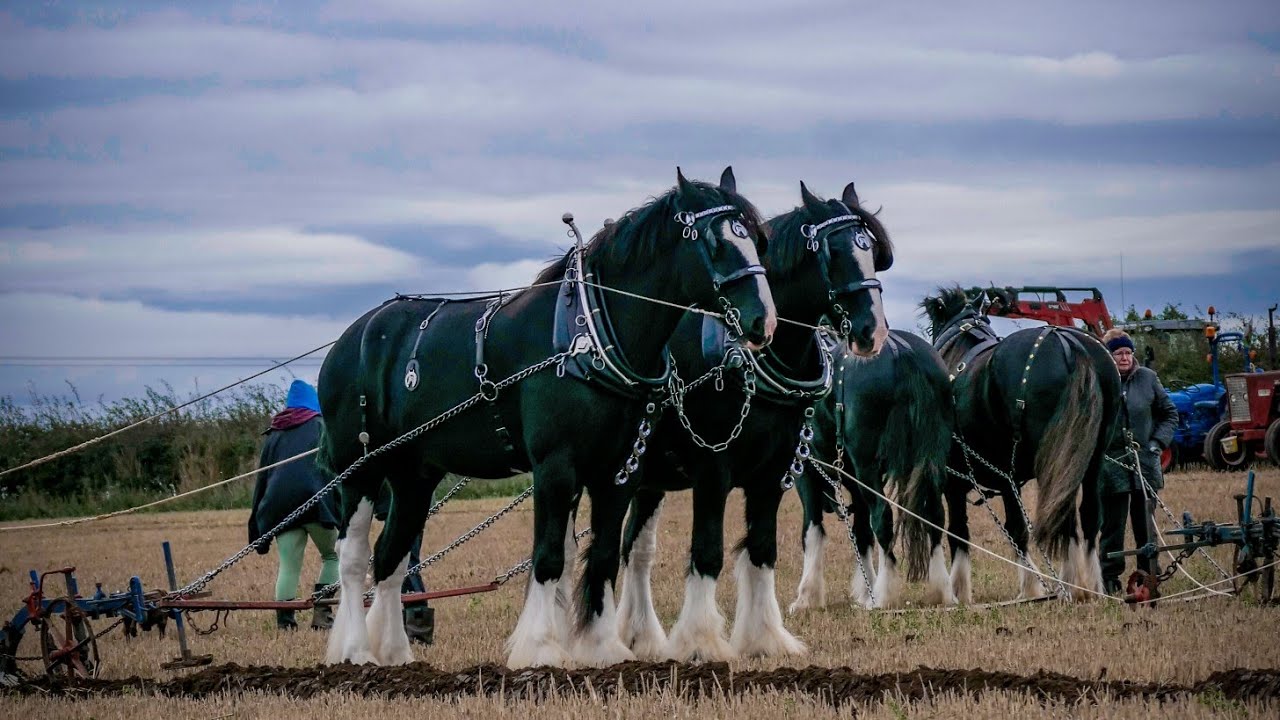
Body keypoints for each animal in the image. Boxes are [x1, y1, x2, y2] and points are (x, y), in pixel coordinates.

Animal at [316, 167, 778, 669]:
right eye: (715, 242)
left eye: (756, 239)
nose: (765, 322)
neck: (591, 337)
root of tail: (350, 338)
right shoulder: (555, 467)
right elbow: (550, 558)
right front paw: (540, 648)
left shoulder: (621, 470)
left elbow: (602, 556)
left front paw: (601, 646)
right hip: (359, 469)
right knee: (354, 557)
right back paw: (356, 650)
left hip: (413, 474)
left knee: (391, 556)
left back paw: (396, 654)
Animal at [613, 181, 892, 662]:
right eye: (833, 251)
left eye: (872, 250)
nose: (872, 332)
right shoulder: (713, 470)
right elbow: (707, 553)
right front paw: (700, 642)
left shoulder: (773, 473)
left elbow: (762, 549)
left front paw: (764, 639)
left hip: (650, 480)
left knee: (636, 548)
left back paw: (641, 635)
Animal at [790, 329, 954, 613]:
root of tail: (903, 351)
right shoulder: (854, 482)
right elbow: (861, 534)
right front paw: (864, 590)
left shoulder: (807, 473)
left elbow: (812, 530)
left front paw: (805, 598)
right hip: (931, 461)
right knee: (934, 517)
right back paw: (943, 590)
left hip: (868, 468)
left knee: (883, 519)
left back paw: (883, 594)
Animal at [920, 286, 1121, 603]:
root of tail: (1071, 344)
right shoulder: (1007, 477)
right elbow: (1014, 529)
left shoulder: (958, 479)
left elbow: (960, 529)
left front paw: (960, 590)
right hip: (1089, 461)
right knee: (1086, 516)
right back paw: (1087, 587)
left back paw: (1066, 586)